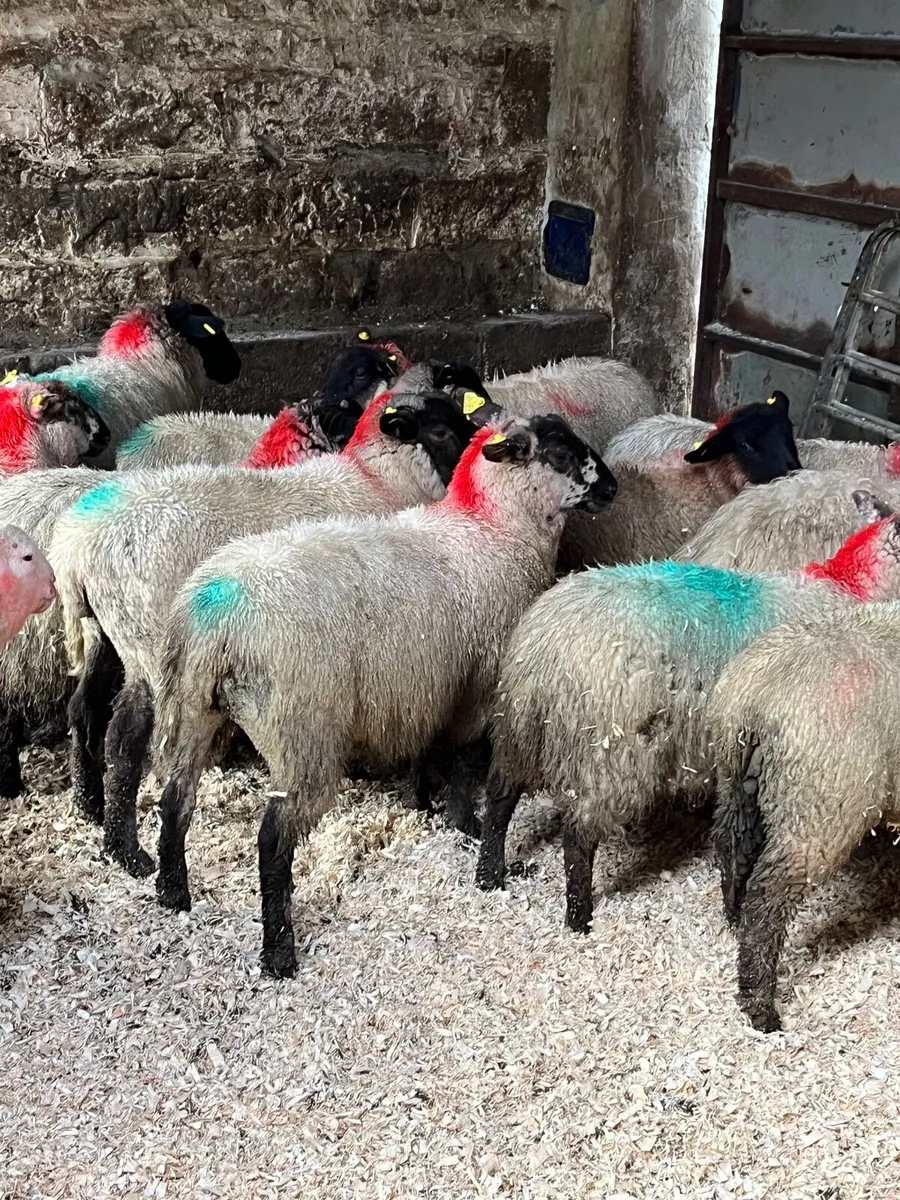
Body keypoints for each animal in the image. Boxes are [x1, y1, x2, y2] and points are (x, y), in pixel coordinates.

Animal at [53, 390, 486, 876]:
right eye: (441, 431)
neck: (376, 480)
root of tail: (74, 547)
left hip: (104, 635)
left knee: (83, 710)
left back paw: (91, 810)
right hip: (146, 644)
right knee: (125, 739)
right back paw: (129, 852)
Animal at [149, 414, 616, 976]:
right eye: (561, 454)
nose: (613, 487)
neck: (493, 530)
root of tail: (216, 615)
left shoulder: (429, 685)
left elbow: (428, 752)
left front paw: (424, 803)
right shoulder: (479, 683)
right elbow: (465, 759)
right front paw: (466, 822)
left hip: (189, 708)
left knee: (176, 797)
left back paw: (173, 893)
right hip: (302, 730)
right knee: (273, 840)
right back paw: (279, 951)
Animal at [475, 492, 900, 936]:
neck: (848, 585)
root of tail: (545, 648)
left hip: (518, 731)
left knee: (500, 798)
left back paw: (491, 875)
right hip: (610, 757)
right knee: (578, 836)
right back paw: (579, 917)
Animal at [711, 594, 900, 1032]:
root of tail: (759, 694)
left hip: (736, 785)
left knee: (730, 850)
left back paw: (733, 922)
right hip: (819, 811)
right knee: (768, 895)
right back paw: (760, 1006)